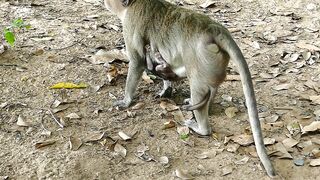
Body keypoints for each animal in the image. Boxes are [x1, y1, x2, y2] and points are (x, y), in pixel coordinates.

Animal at [104, 0, 276, 176]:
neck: (133, 5)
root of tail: (213, 28)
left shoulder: (131, 24)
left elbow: (138, 60)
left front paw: (126, 101)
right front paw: (166, 88)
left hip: (202, 59)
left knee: (198, 89)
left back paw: (201, 128)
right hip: (216, 62)